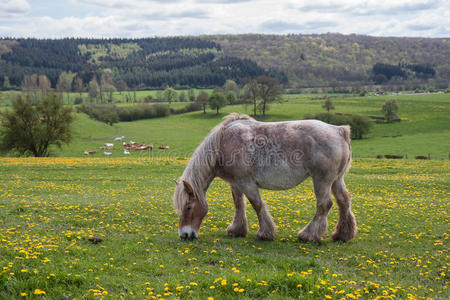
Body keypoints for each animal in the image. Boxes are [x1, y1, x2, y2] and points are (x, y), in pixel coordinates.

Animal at [174, 113, 356, 243]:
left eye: (188, 207)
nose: (185, 234)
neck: (223, 144)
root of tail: (339, 131)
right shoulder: (235, 184)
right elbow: (239, 205)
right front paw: (237, 230)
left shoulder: (247, 184)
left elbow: (257, 205)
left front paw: (265, 233)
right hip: (336, 180)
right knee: (343, 201)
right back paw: (342, 235)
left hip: (322, 180)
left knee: (324, 205)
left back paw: (309, 235)